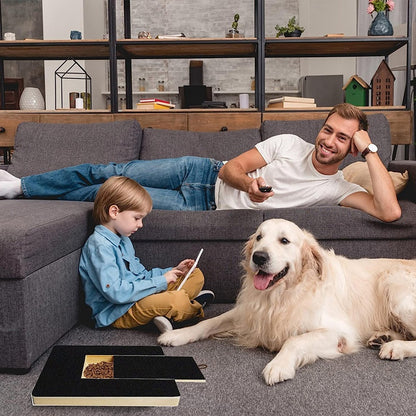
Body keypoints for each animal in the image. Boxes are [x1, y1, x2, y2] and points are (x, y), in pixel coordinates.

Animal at [158, 219, 416, 386]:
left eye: (284, 240)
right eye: (259, 237)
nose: (258, 257)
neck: (280, 295)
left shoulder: (339, 333)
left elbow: (294, 340)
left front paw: (278, 365)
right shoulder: (248, 312)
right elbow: (209, 322)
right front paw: (178, 334)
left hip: (393, 286)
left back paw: (395, 347)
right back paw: (383, 337)